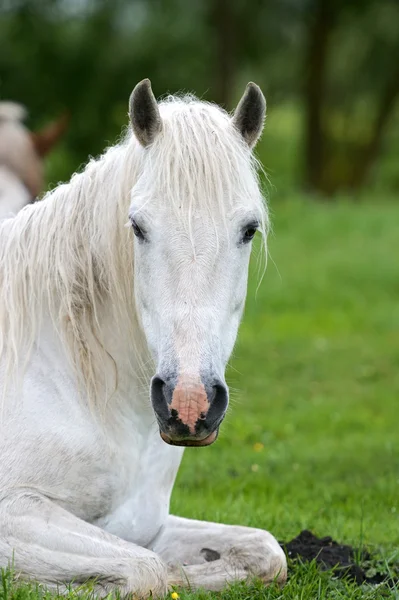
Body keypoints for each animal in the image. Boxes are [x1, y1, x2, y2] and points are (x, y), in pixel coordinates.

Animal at [0, 78, 288, 596]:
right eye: (137, 226)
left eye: (249, 229)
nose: (189, 403)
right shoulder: (16, 510)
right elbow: (147, 572)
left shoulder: (145, 525)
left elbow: (264, 552)